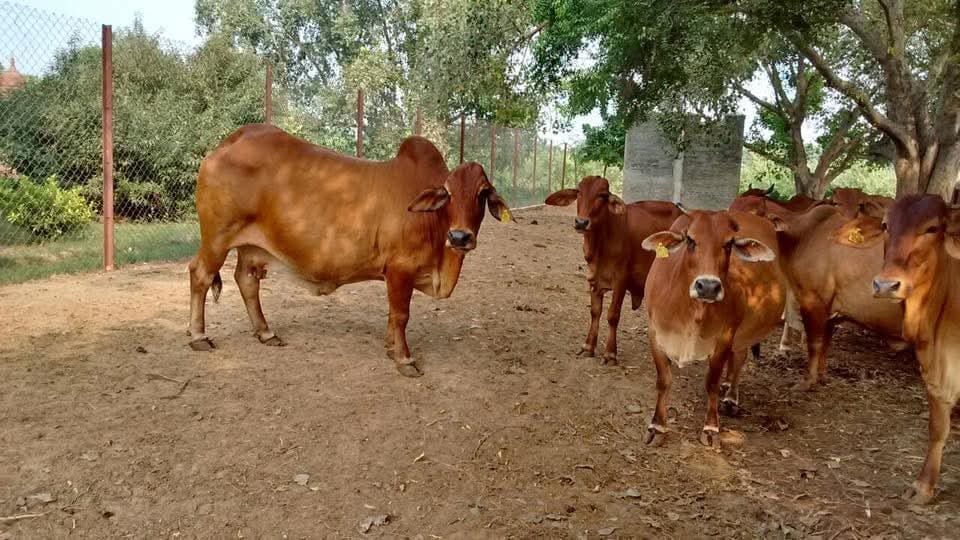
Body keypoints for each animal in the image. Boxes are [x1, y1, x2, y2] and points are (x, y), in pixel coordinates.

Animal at [187, 124, 511, 378]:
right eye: (448, 192)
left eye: (483, 192)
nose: (459, 236)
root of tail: (226, 145)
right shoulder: (400, 269)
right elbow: (401, 314)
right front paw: (404, 359)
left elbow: (392, 314)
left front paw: (390, 347)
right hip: (217, 238)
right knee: (200, 274)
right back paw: (199, 336)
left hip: (250, 246)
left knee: (246, 280)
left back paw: (266, 332)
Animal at [544, 177, 684, 364]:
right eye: (579, 192)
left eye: (603, 195)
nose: (581, 222)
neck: (601, 243)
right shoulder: (594, 280)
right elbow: (595, 312)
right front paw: (588, 346)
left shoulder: (621, 281)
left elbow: (612, 315)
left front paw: (610, 353)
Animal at [641, 206, 787, 448]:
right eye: (690, 240)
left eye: (728, 244)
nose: (708, 286)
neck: (692, 311)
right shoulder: (655, 333)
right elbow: (663, 381)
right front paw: (657, 426)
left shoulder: (725, 338)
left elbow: (711, 383)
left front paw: (710, 428)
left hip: (742, 332)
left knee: (739, 359)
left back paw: (731, 397)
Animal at [731, 195, 905, 390]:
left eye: (753, 215)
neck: (801, 236)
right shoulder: (831, 309)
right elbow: (825, 343)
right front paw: (821, 376)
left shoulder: (812, 301)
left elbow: (814, 343)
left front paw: (807, 380)